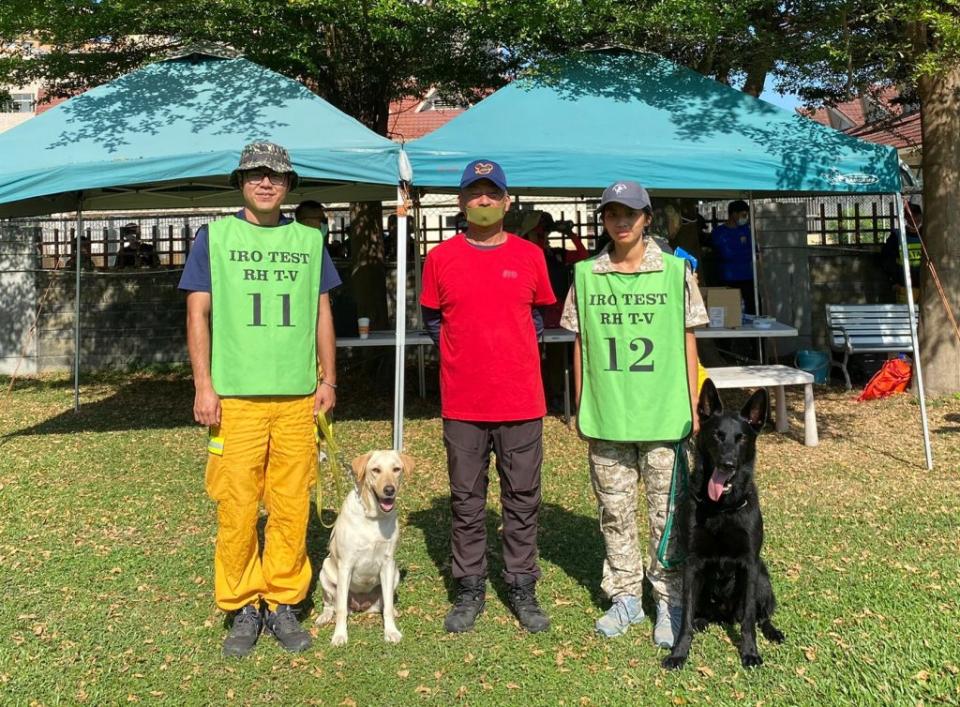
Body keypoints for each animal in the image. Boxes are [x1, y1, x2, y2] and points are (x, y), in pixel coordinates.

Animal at [316, 450, 412, 644]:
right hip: (325, 572)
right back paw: (324, 616)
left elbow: (388, 606)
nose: (389, 490)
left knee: (385, 603)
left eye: (396, 469)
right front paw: (339, 636)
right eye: (376, 470)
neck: (374, 517)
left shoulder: (388, 563)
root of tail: (361, 605)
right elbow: (341, 610)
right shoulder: (346, 564)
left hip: (395, 573)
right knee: (332, 605)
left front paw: (391, 631)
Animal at [664, 382, 784, 668]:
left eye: (741, 438)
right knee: (701, 612)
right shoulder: (692, 564)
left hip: (762, 578)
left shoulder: (750, 564)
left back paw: (772, 631)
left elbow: (749, 619)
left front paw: (750, 652)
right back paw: (702, 620)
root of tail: (725, 615)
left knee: (760, 616)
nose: (727, 464)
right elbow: (685, 617)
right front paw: (679, 652)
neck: (722, 508)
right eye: (717, 436)